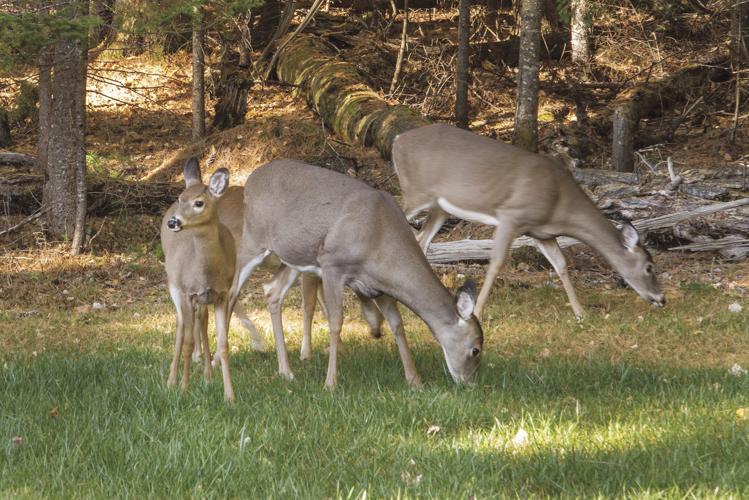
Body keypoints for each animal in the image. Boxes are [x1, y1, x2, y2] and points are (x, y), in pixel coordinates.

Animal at [227, 159, 484, 389]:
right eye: (475, 350)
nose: (469, 383)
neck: (379, 236)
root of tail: (251, 180)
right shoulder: (332, 264)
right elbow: (335, 322)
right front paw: (330, 383)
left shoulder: (378, 285)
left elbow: (397, 324)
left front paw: (414, 380)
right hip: (253, 242)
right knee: (230, 293)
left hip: (293, 259)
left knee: (272, 292)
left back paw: (286, 372)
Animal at [391, 123, 666, 319]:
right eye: (649, 267)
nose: (661, 299)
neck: (559, 205)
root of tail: (397, 140)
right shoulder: (512, 216)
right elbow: (496, 262)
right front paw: (477, 311)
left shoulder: (542, 233)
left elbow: (561, 264)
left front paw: (580, 313)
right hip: (416, 192)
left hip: (440, 207)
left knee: (421, 241)